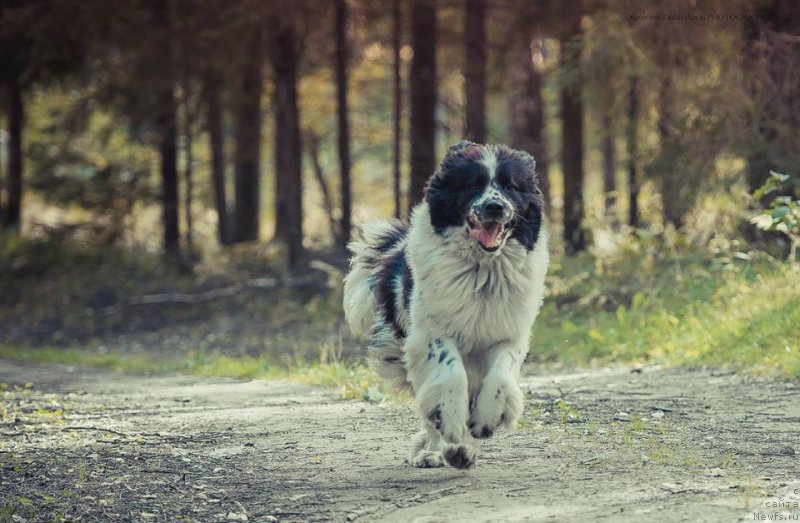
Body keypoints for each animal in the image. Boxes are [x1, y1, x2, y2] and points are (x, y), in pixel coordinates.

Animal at [340, 140, 548, 470]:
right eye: (472, 184)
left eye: (511, 186)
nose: (494, 206)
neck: (481, 269)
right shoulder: (430, 332)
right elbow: (450, 373)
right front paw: (450, 426)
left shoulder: (508, 333)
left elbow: (500, 375)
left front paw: (484, 421)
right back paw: (439, 450)